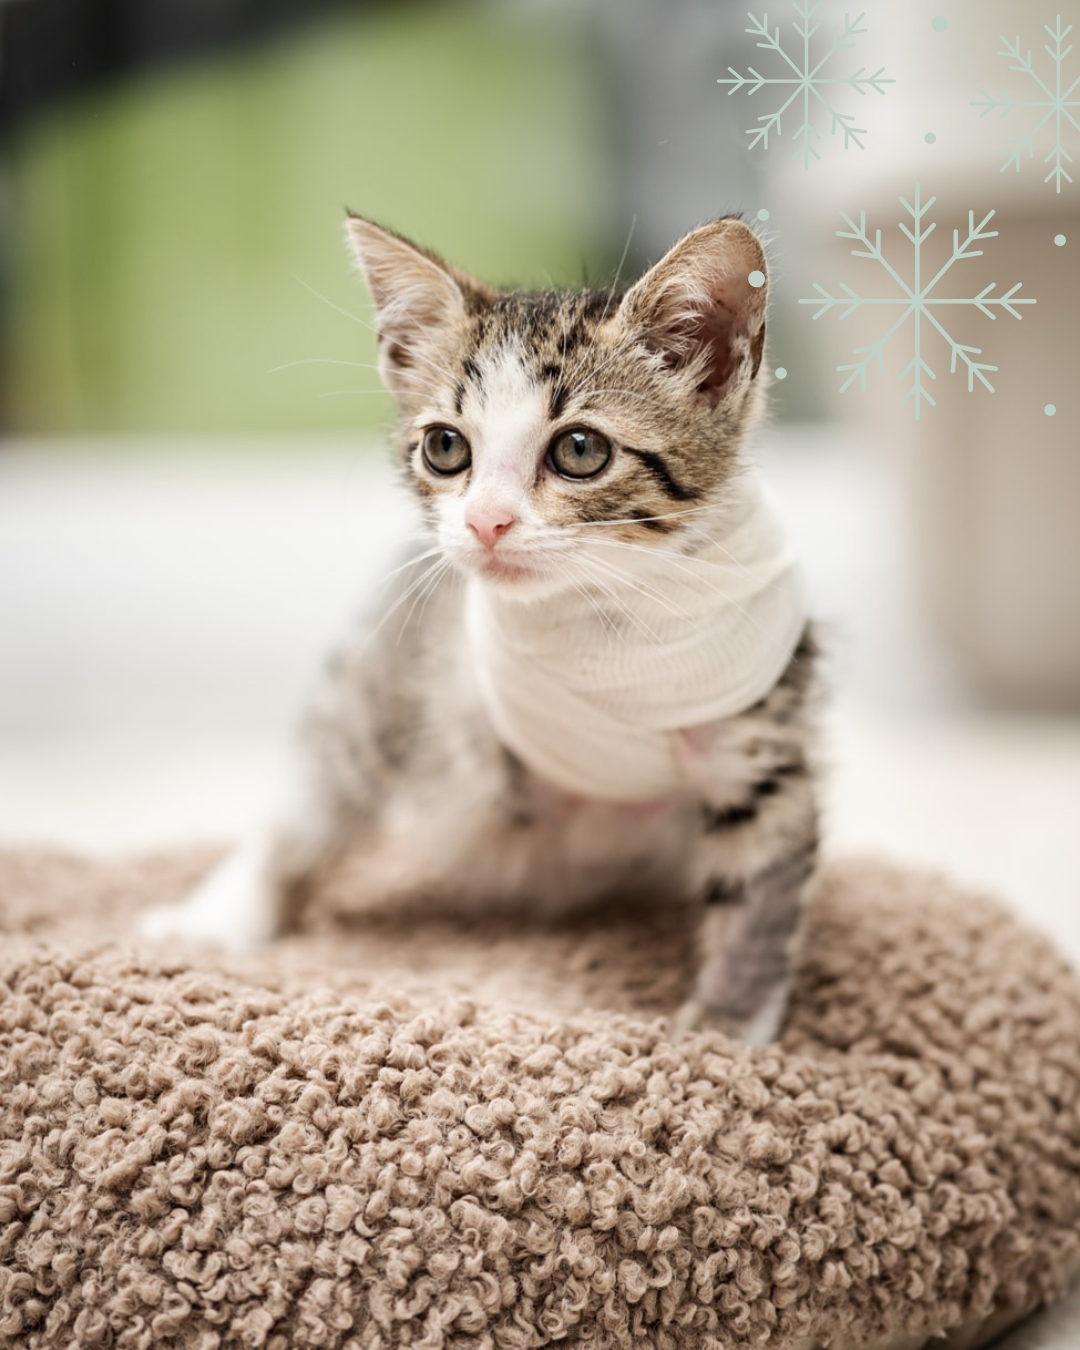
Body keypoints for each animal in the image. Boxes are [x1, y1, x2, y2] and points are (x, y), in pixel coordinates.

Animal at [141, 214, 821, 1044]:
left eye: (580, 449)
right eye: (445, 446)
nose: (484, 520)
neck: (607, 619)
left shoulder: (764, 732)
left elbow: (762, 887)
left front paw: (725, 1028)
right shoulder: (426, 660)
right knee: (316, 792)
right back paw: (220, 915)